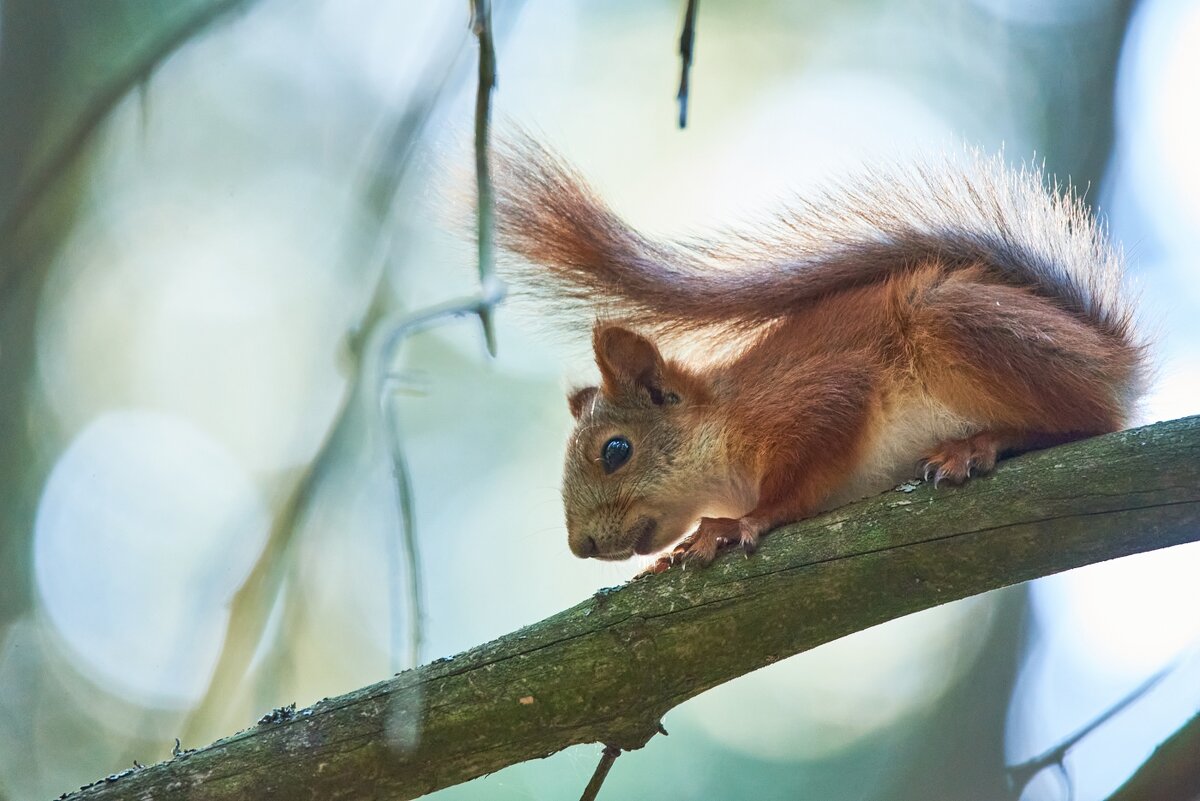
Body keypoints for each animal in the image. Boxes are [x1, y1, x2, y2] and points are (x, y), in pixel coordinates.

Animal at [492, 140, 1147, 573]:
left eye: (616, 451)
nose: (581, 546)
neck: (722, 426)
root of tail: (1113, 359)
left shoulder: (813, 398)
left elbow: (799, 482)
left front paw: (739, 523)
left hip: (952, 321)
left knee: (1089, 420)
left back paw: (979, 445)